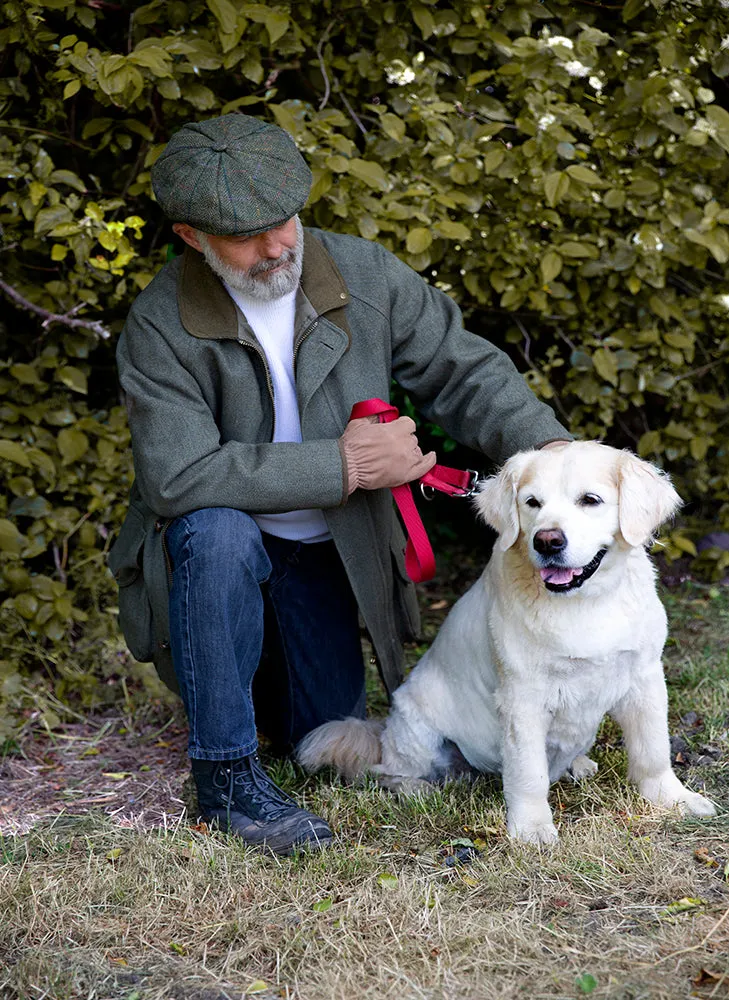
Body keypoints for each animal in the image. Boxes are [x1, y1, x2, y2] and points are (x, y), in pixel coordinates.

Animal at [298, 446, 716, 844]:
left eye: (590, 500)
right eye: (532, 502)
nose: (547, 540)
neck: (585, 601)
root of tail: (381, 732)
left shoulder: (644, 677)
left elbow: (653, 751)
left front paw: (673, 799)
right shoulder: (522, 698)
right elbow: (529, 772)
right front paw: (531, 828)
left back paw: (578, 764)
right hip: (416, 728)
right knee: (384, 771)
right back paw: (417, 788)